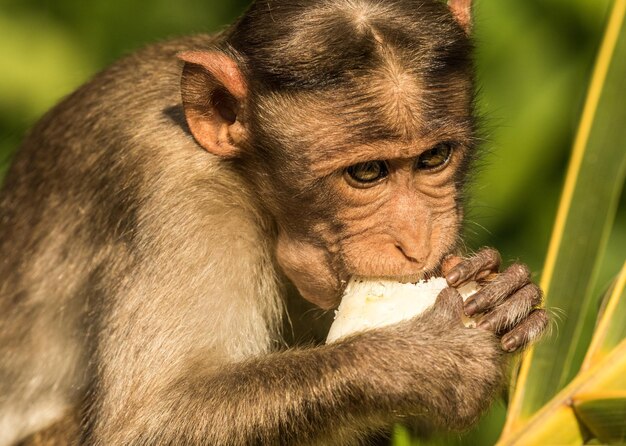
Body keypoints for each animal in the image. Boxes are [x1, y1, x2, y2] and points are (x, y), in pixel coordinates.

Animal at [0, 0, 544, 444]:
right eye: (367, 172)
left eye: (434, 157)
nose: (417, 241)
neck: (249, 178)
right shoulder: (183, 198)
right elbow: (145, 423)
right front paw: (424, 362)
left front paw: (508, 292)